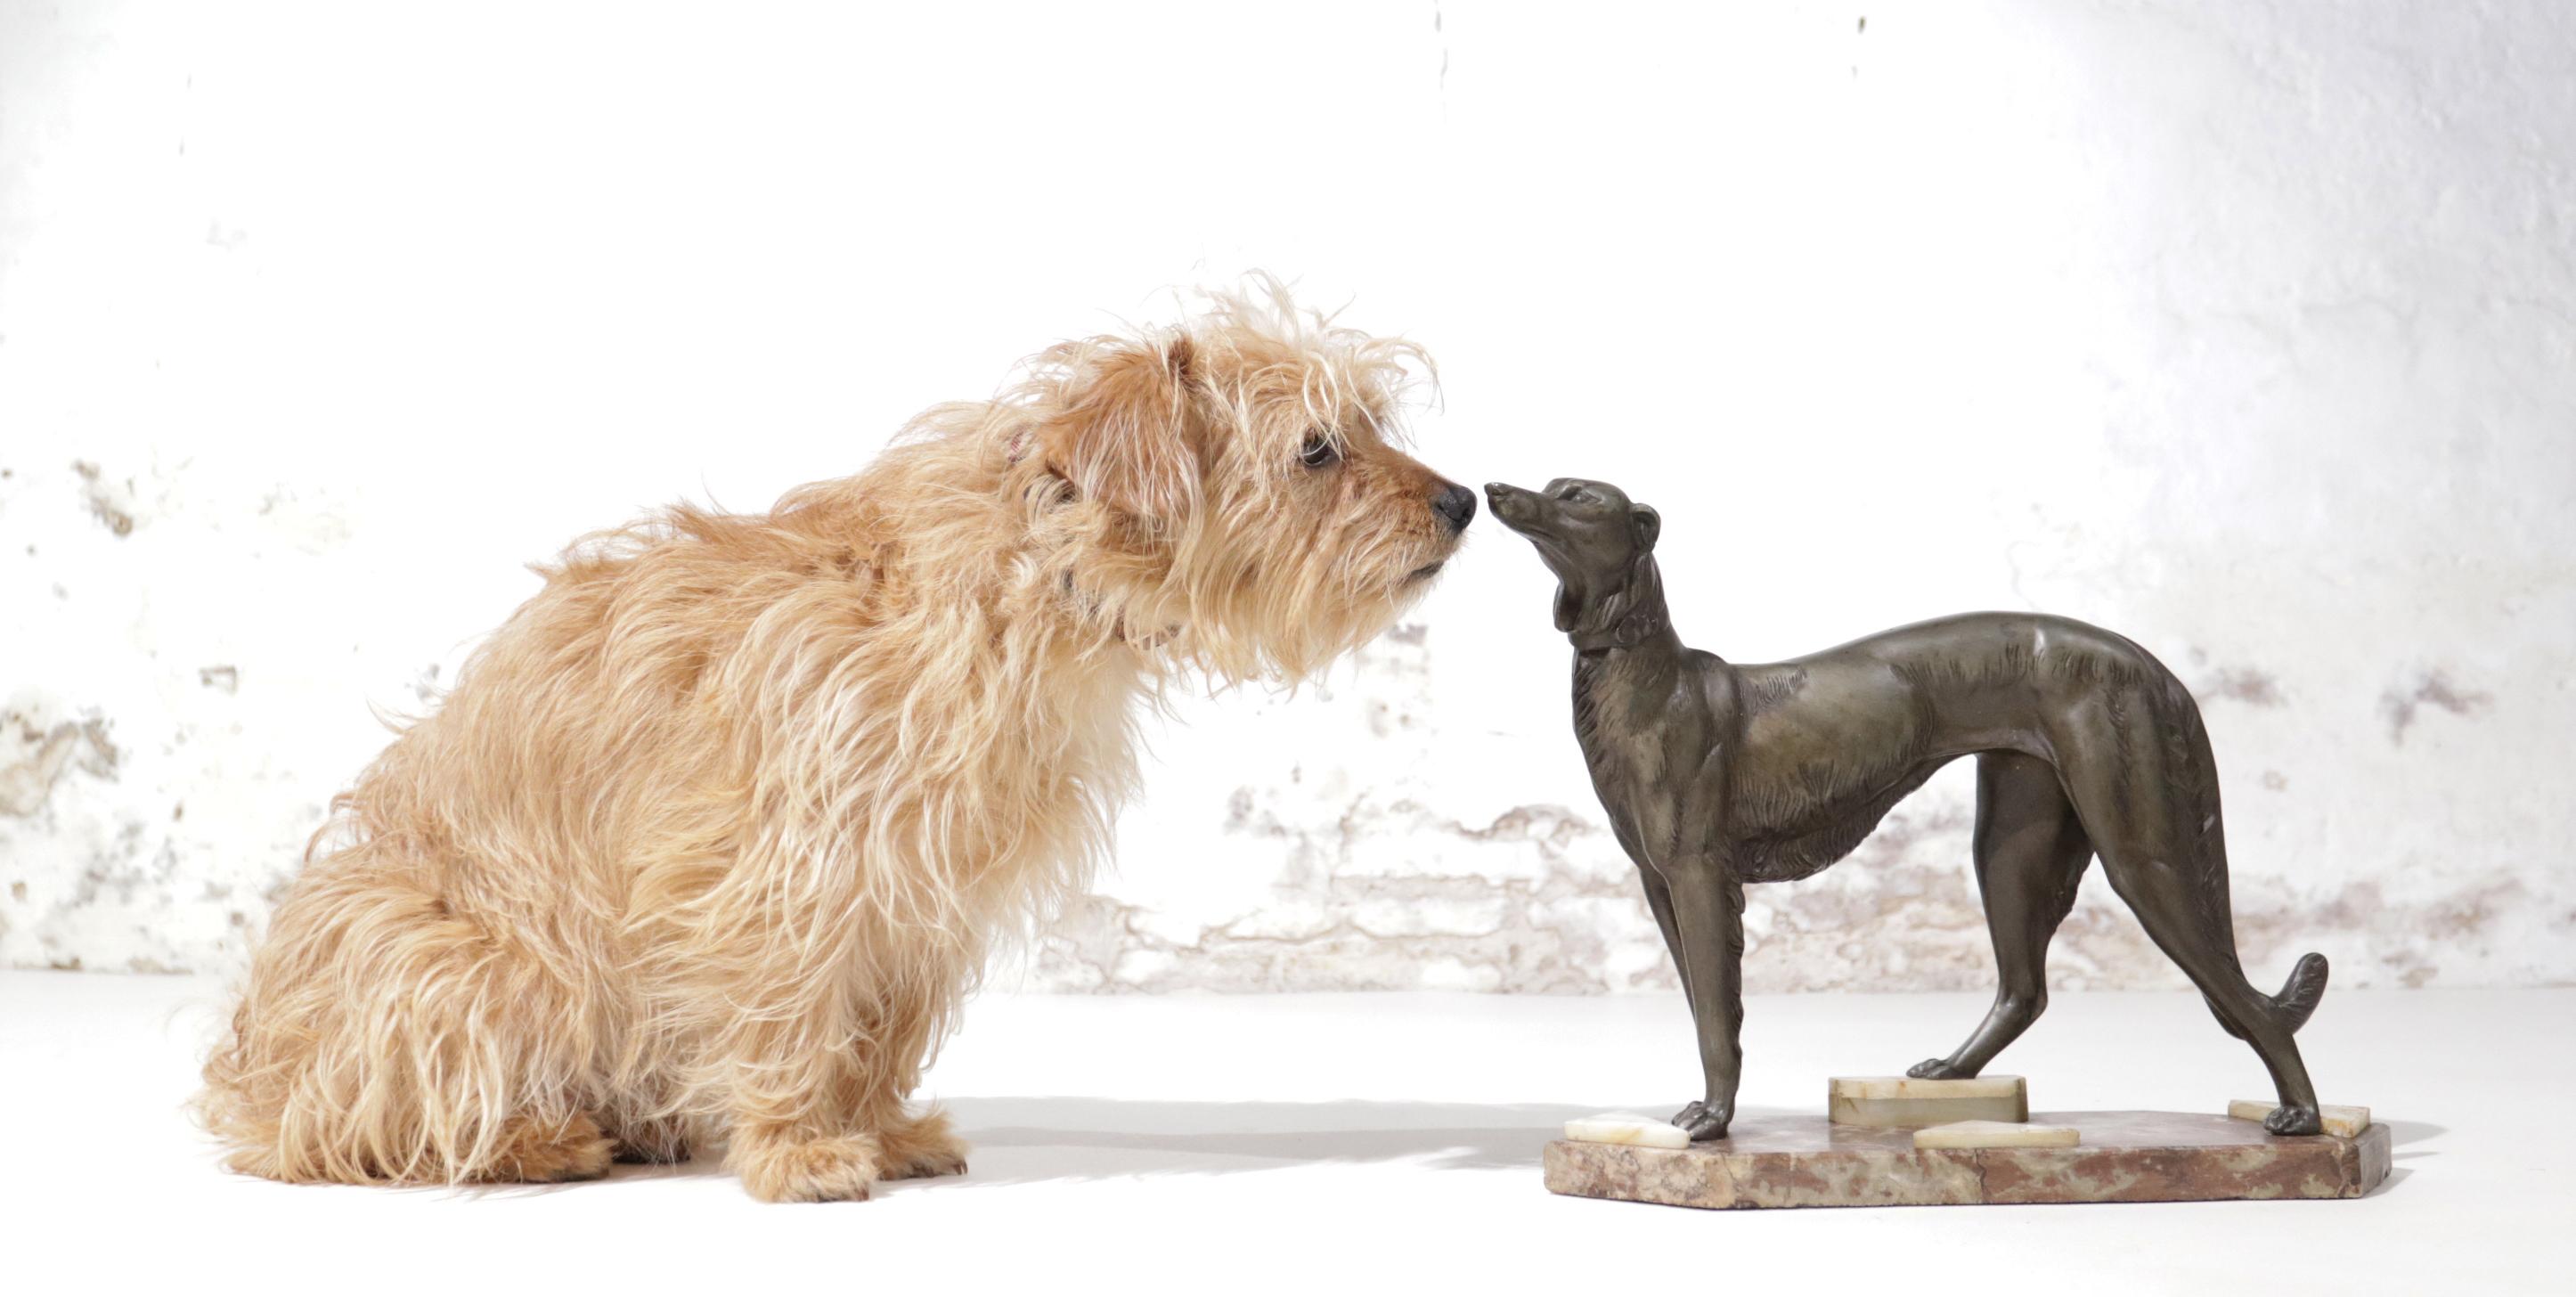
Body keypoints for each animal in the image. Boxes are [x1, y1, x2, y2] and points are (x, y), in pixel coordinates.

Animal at [198, 286, 1483, 1206]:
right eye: (1316, 449)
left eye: (1370, 426)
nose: (1465, 501)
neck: (1029, 580)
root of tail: (250, 1084)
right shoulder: (788, 865)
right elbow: (790, 1003)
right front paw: (795, 1149)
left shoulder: (919, 885)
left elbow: (878, 1024)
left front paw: (875, 1127)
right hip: (451, 952)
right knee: (345, 1131)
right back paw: (532, 1136)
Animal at [1483, 477, 2328, 1134]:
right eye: (1552, 483)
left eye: (1578, 496)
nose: (1493, 490)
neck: (1647, 677)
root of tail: (2149, 663)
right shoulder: (1660, 884)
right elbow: (1702, 1008)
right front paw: (1712, 1112)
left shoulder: (1697, 876)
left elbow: (1718, 1018)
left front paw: (1714, 1121)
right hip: (2011, 842)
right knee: (2025, 989)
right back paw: (1951, 1070)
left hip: (2142, 851)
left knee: (2238, 994)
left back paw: (2303, 1117)